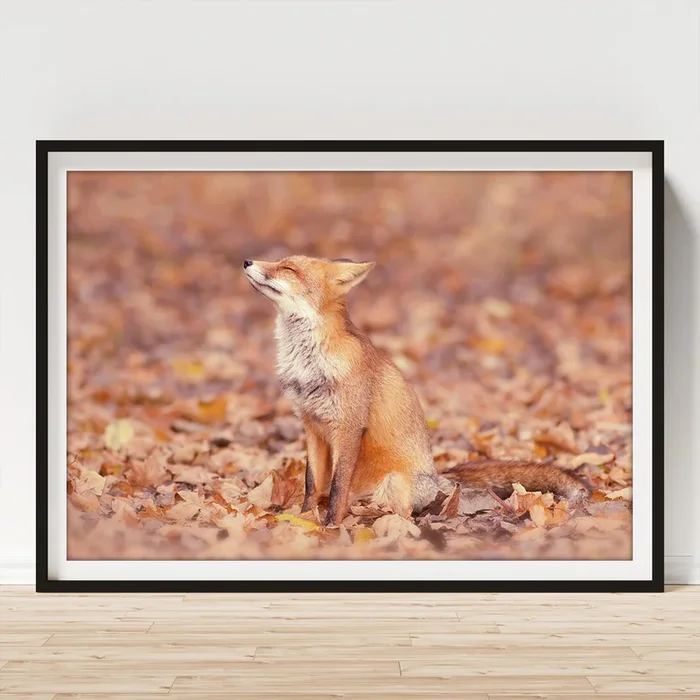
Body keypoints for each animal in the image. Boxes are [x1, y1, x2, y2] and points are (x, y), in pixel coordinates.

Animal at [243, 255, 589, 527]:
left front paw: (330, 527)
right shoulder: (312, 426)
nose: (247, 261)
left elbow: (338, 487)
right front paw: (303, 520)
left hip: (392, 482)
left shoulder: (348, 427)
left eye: (288, 268)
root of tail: (437, 477)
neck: (309, 364)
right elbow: (312, 485)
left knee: (403, 512)